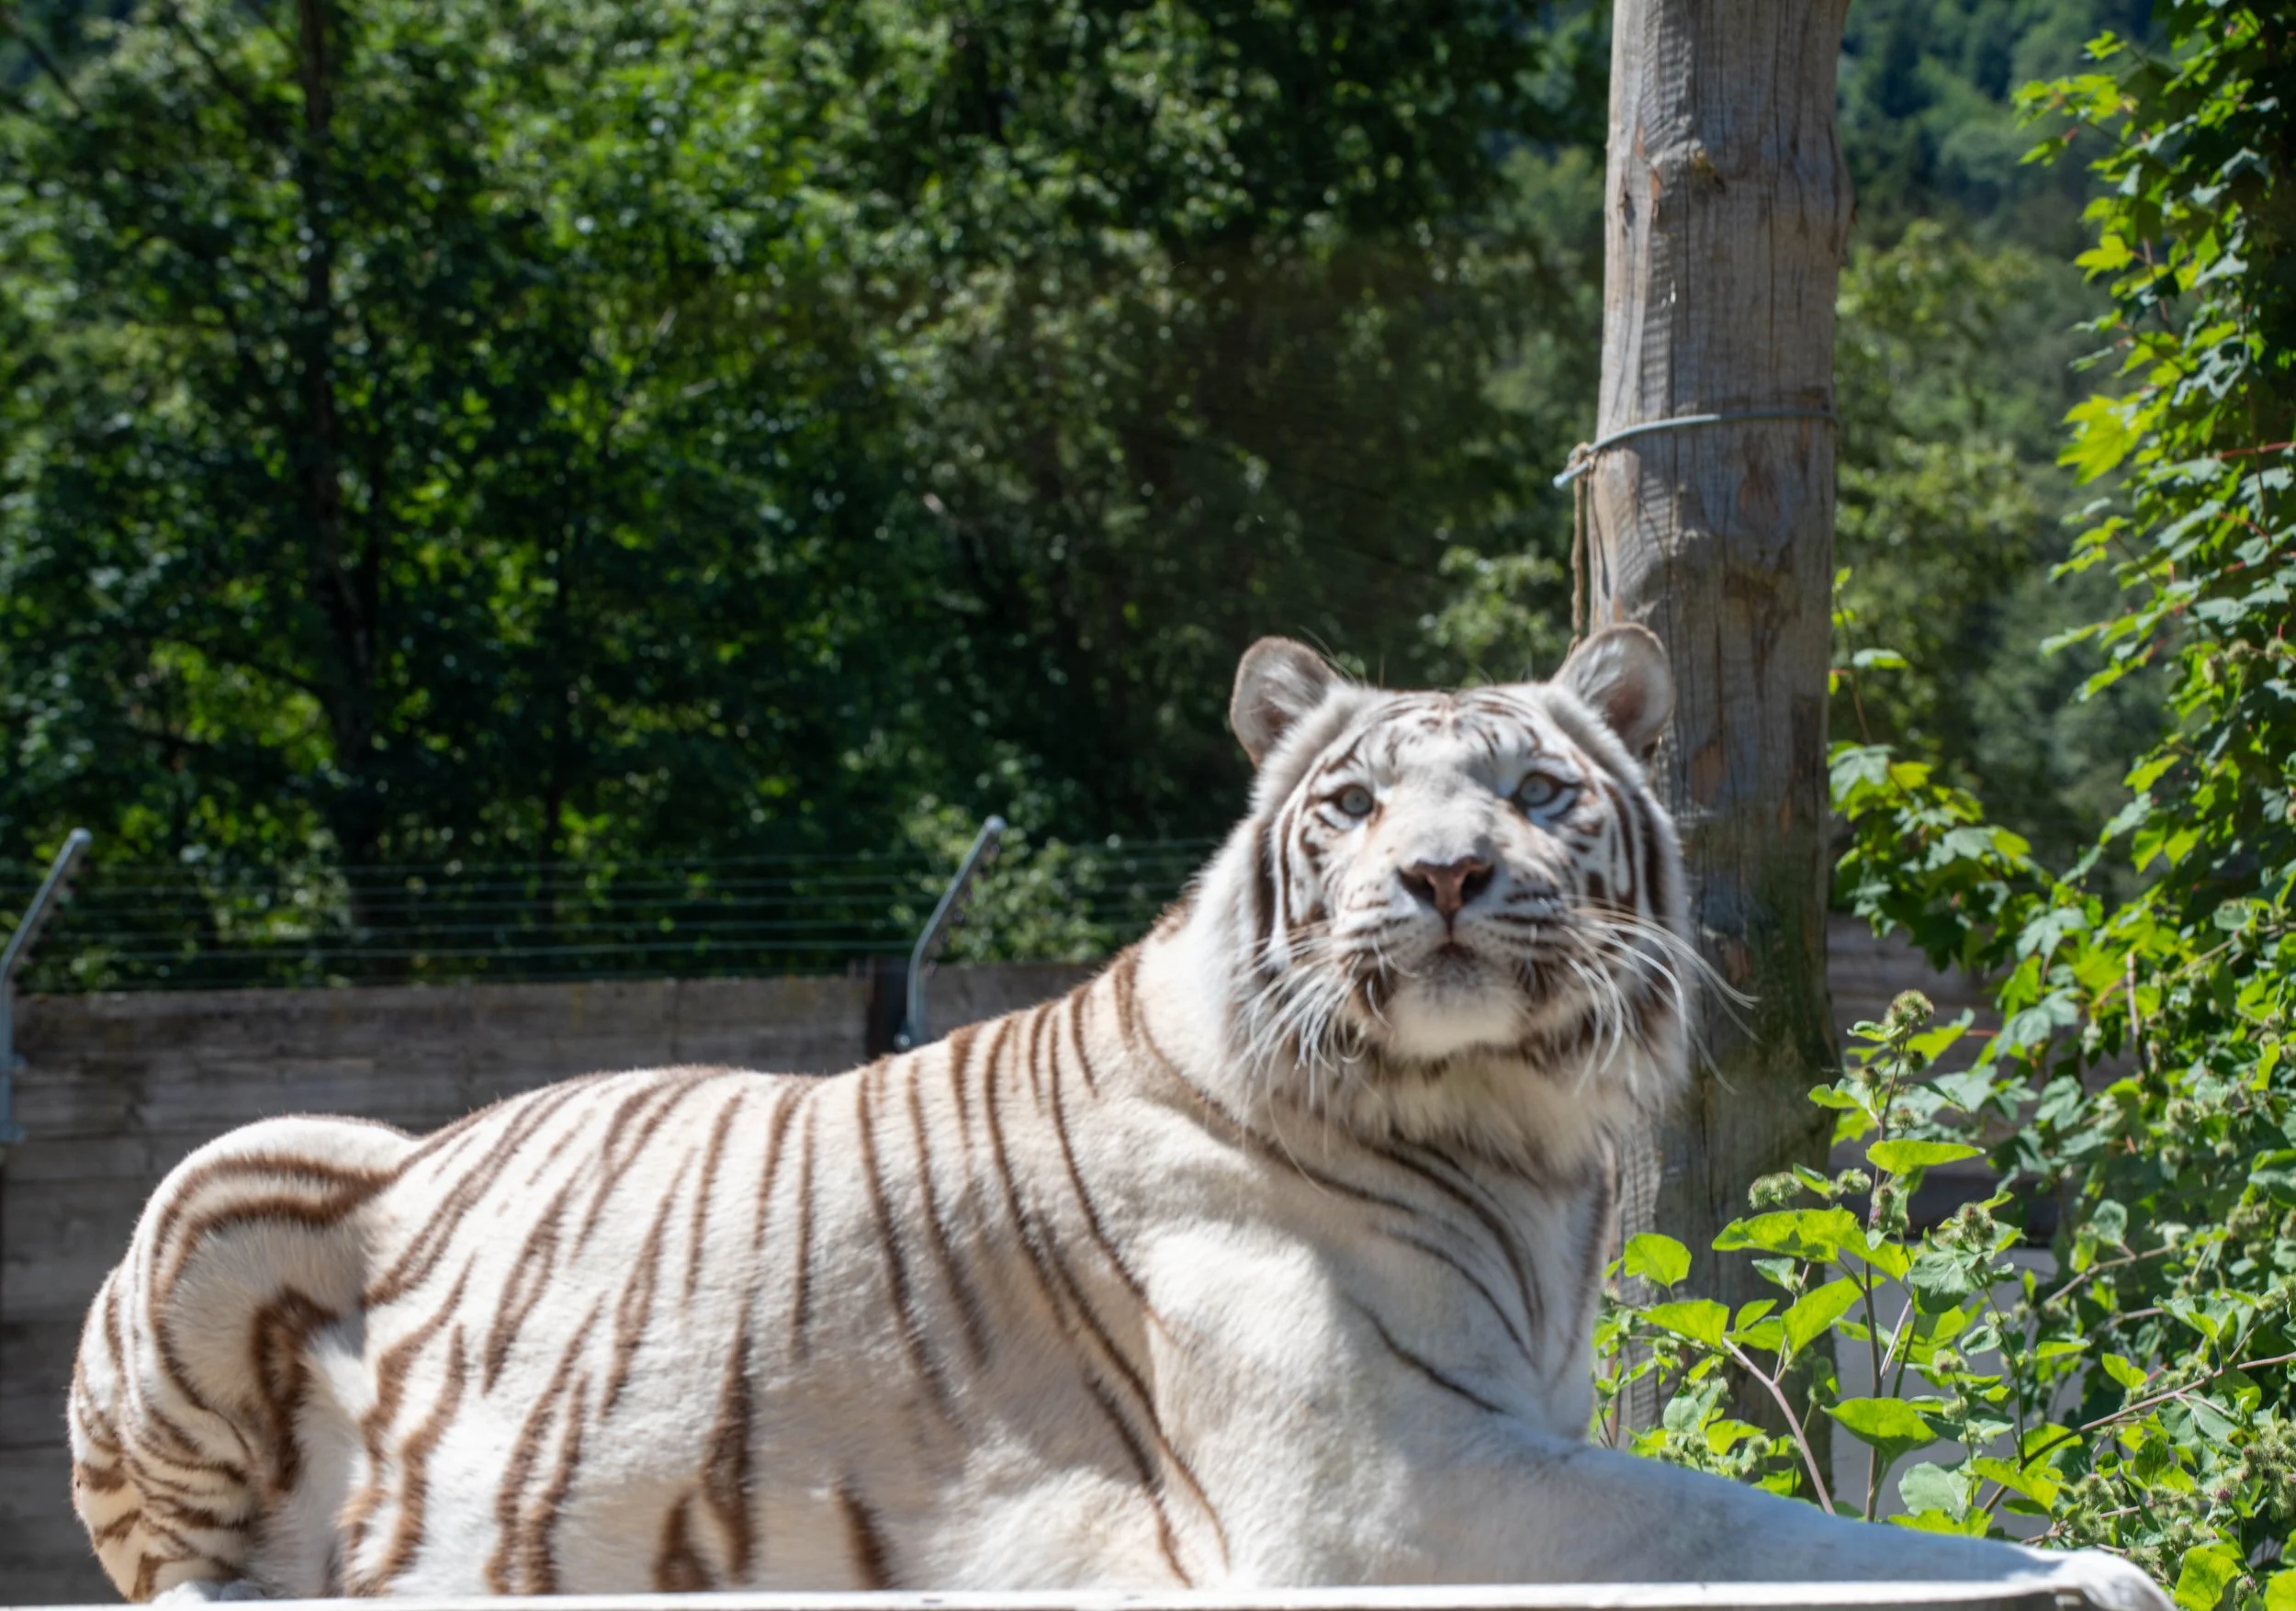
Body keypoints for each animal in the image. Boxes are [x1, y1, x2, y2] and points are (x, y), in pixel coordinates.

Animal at [70, 627, 2165, 1607]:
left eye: (1538, 791)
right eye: (1350, 803)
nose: (1445, 876)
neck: (1511, 1128)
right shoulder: (1390, 1483)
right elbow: (1759, 1525)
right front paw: (2094, 1567)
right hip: (221, 1179)